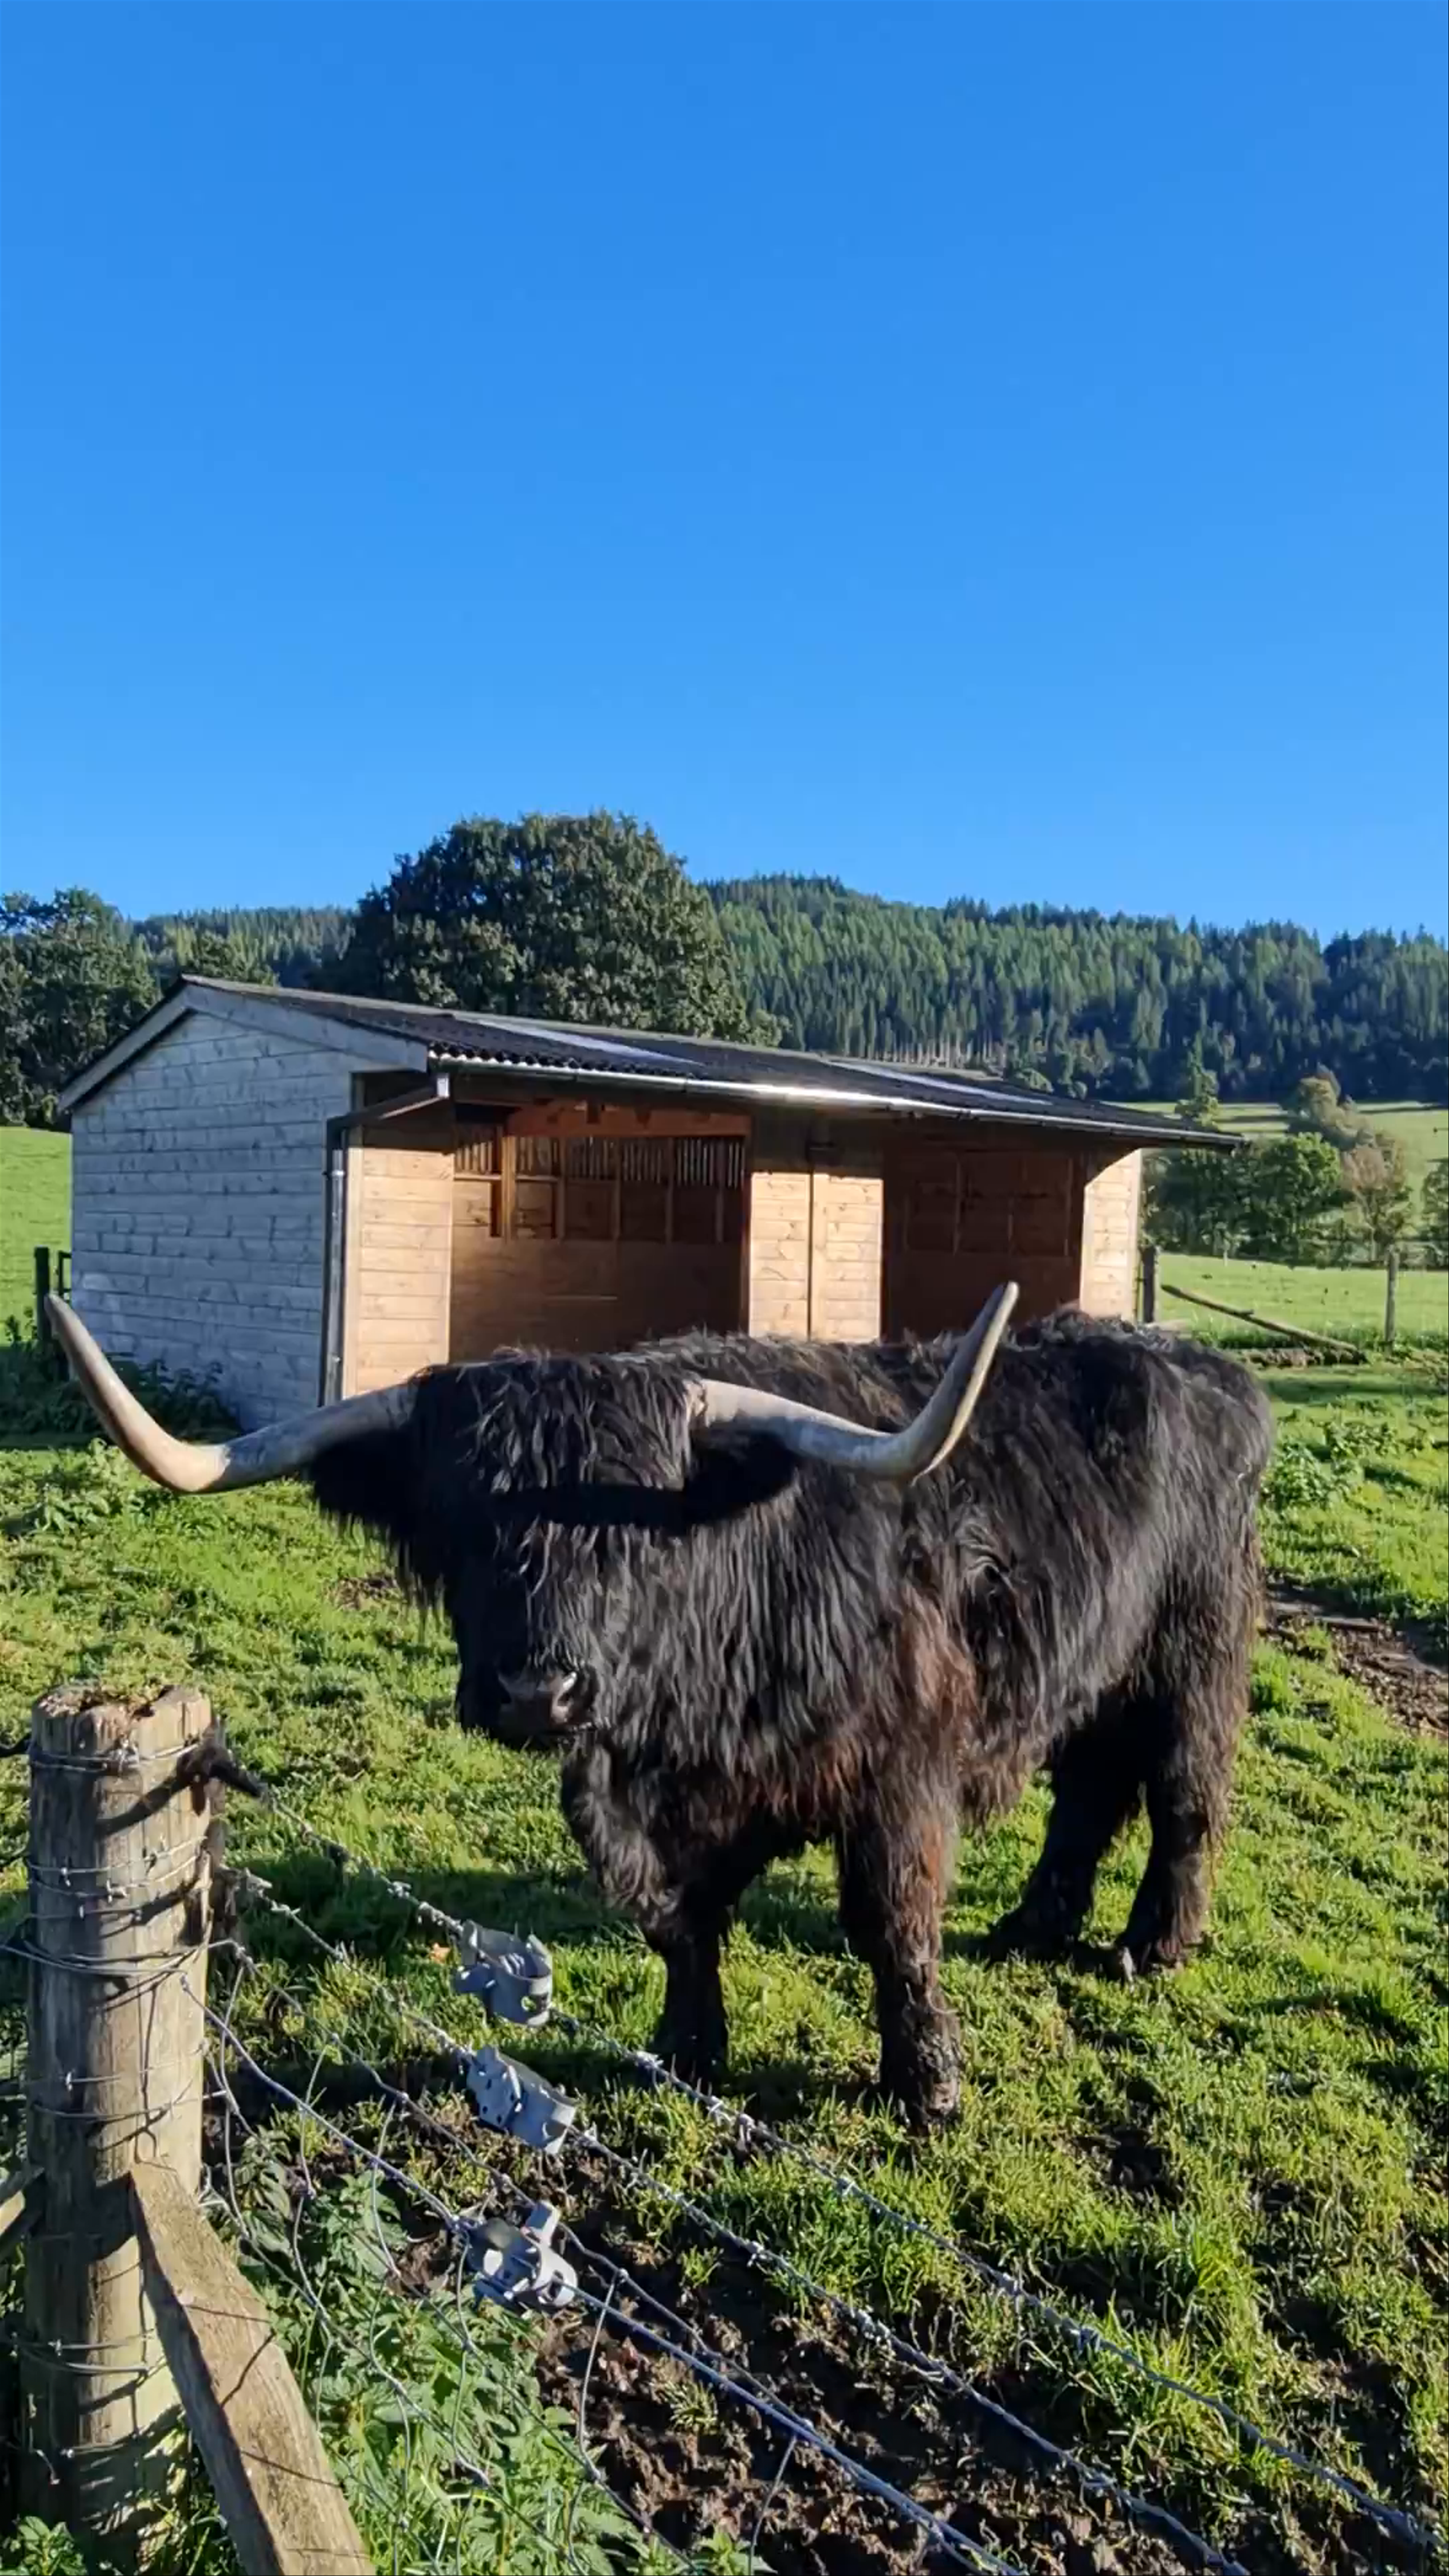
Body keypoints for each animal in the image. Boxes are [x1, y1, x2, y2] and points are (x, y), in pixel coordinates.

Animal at [48, 1290, 1273, 2129]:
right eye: (455, 1516)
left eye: (630, 1519)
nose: (536, 1691)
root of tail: (1206, 1366)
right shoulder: (649, 1804)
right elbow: (677, 1919)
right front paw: (687, 2049)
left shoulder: (899, 1767)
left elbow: (893, 1923)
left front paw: (925, 2085)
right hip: (1100, 1665)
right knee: (1090, 1789)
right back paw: (1034, 1925)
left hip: (1193, 1651)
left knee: (1181, 1794)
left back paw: (1150, 1944)